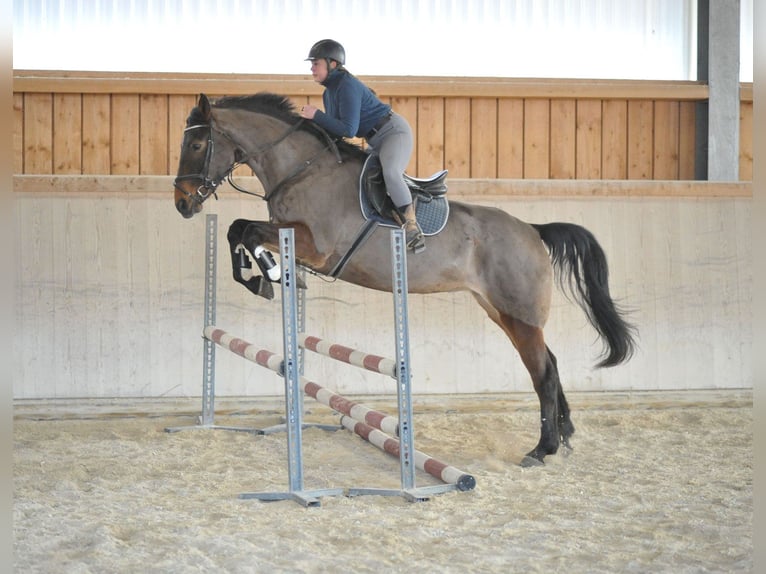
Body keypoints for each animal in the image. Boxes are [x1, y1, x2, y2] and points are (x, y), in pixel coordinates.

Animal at [176, 91, 640, 468]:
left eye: (197, 144)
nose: (182, 203)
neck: (302, 169)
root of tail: (532, 229)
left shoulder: (315, 246)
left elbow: (248, 231)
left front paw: (269, 275)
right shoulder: (291, 234)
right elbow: (238, 230)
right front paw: (265, 277)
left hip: (519, 315)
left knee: (542, 374)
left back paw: (541, 450)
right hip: (503, 313)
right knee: (551, 365)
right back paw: (563, 437)